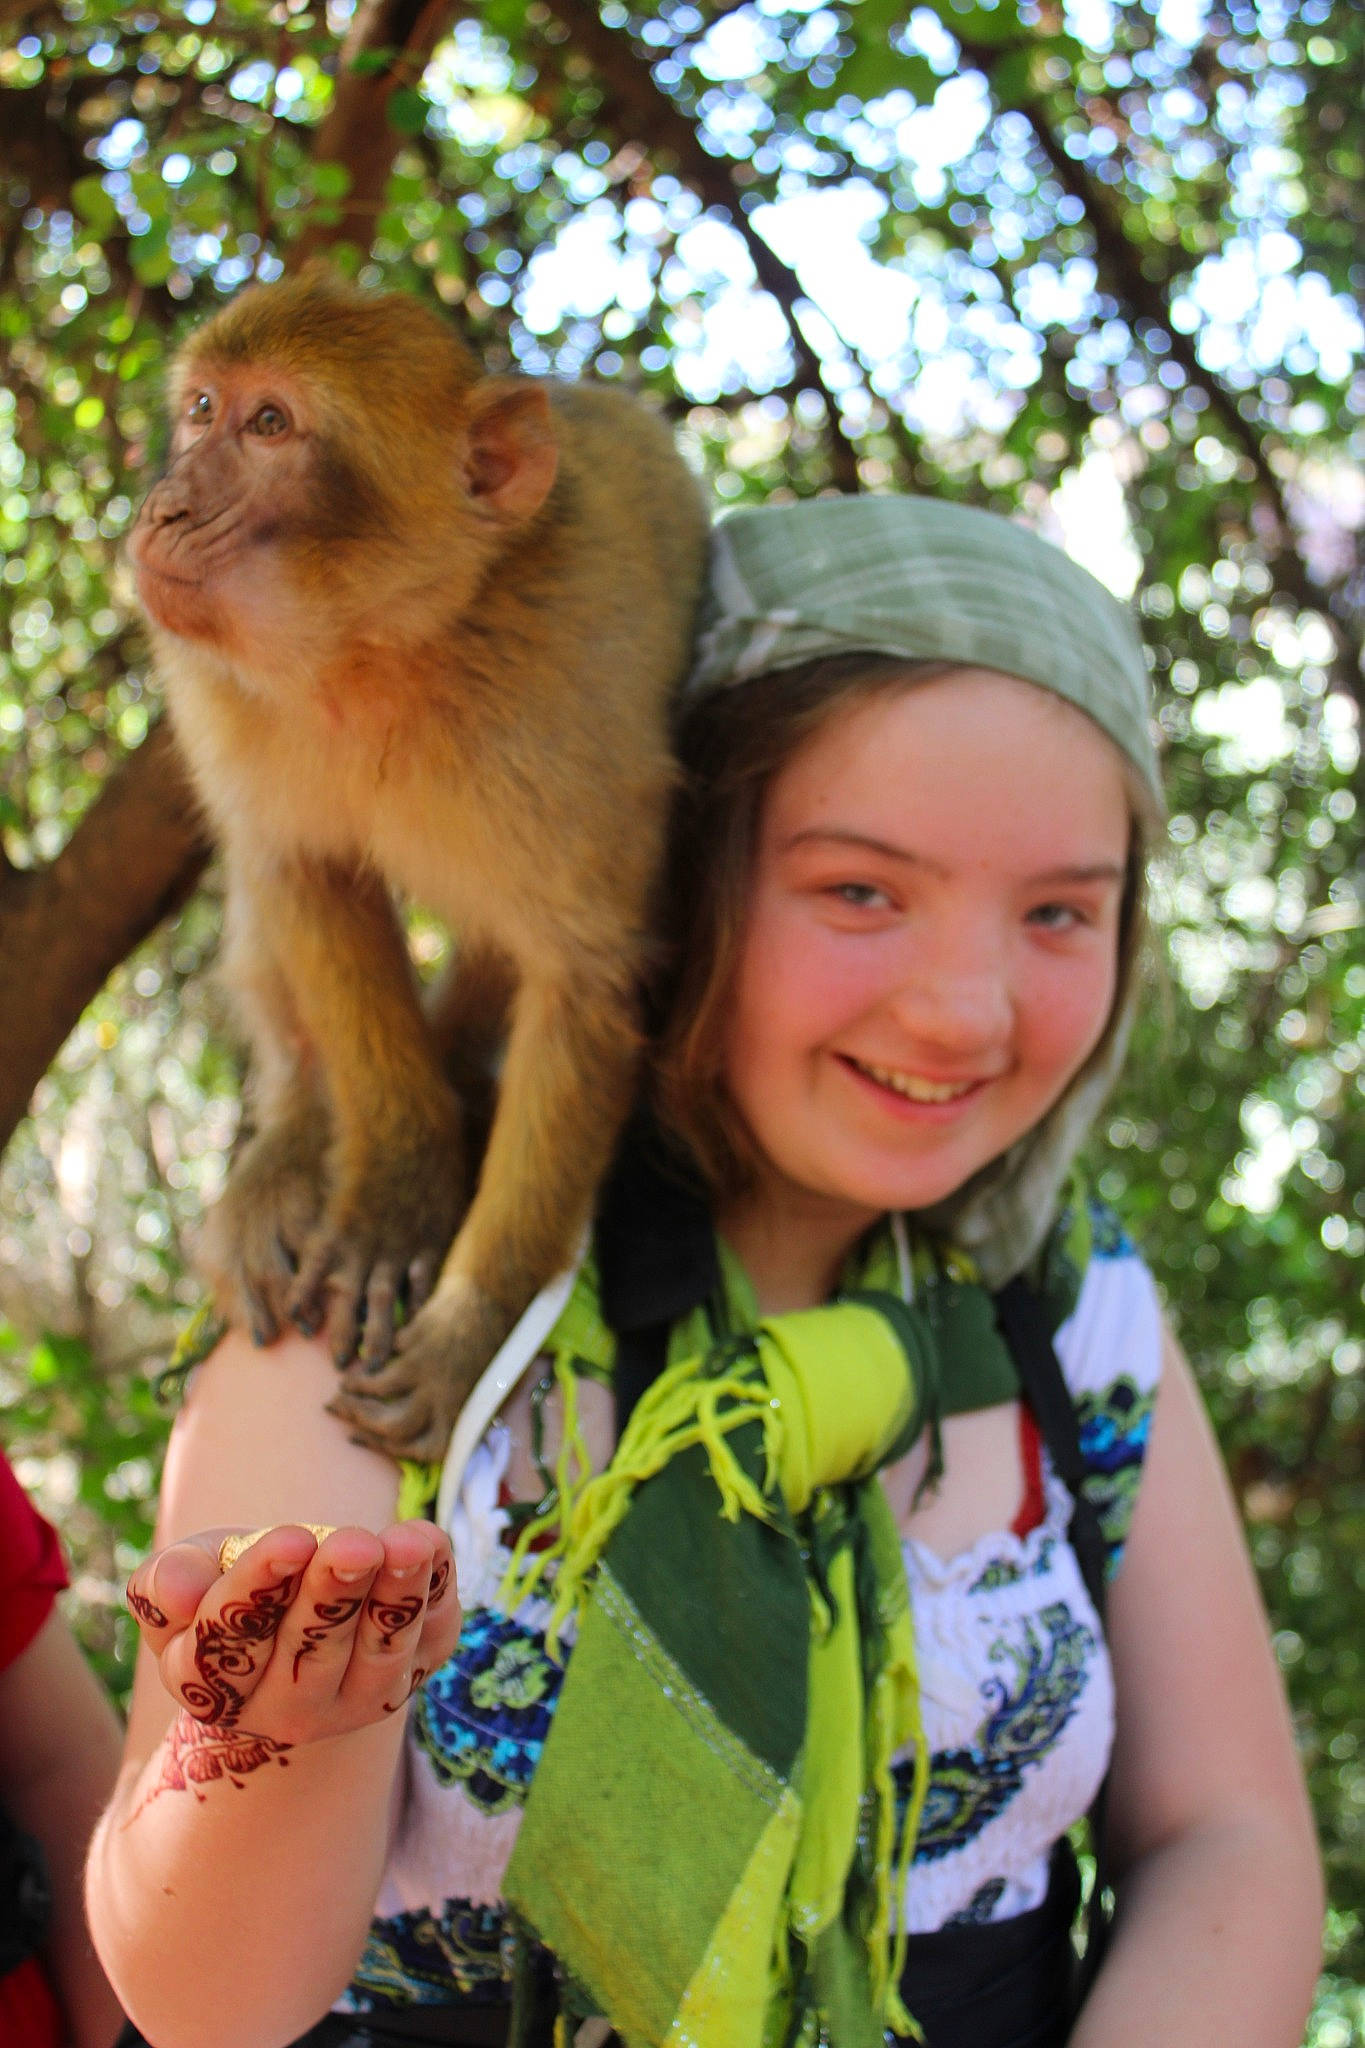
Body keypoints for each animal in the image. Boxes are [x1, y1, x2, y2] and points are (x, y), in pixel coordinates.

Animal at [129, 267, 711, 1463]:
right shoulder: (212, 679)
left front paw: (471, 1324)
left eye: (271, 425)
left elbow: (583, 978)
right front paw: (398, 1187)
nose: (164, 508)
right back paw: (301, 1131)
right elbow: (303, 873)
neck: (375, 650)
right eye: (203, 410)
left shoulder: (565, 693)